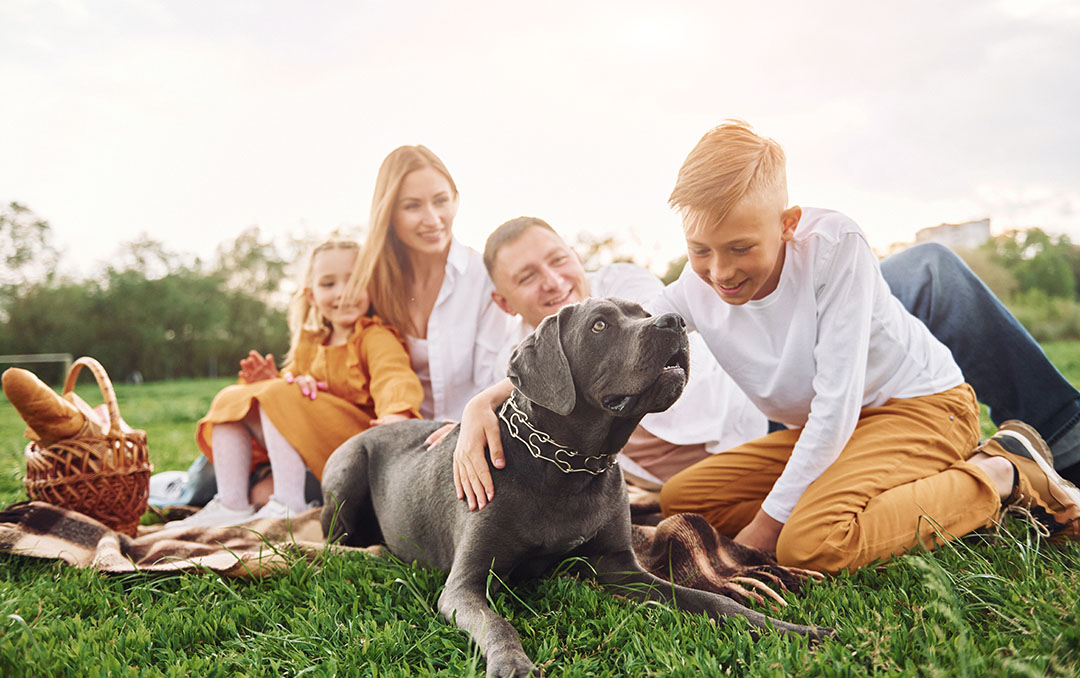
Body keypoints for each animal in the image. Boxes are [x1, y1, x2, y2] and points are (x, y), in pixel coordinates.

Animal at [319, 297, 825, 678]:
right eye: (600, 325)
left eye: (642, 311)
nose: (675, 320)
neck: (568, 465)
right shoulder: (464, 585)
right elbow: (497, 623)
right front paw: (512, 664)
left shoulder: (621, 566)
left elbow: (709, 598)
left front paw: (790, 629)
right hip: (346, 474)